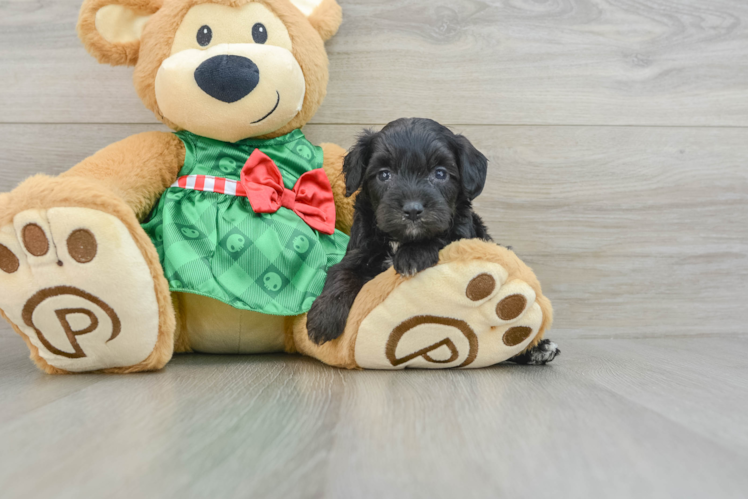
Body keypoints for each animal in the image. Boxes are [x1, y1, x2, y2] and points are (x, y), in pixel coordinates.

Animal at [306, 118, 494, 344]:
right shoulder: (359, 250)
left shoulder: (460, 234)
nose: (412, 210)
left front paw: (412, 254)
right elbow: (342, 271)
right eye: (384, 174)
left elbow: (441, 237)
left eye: (440, 173)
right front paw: (324, 316)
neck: (399, 239)